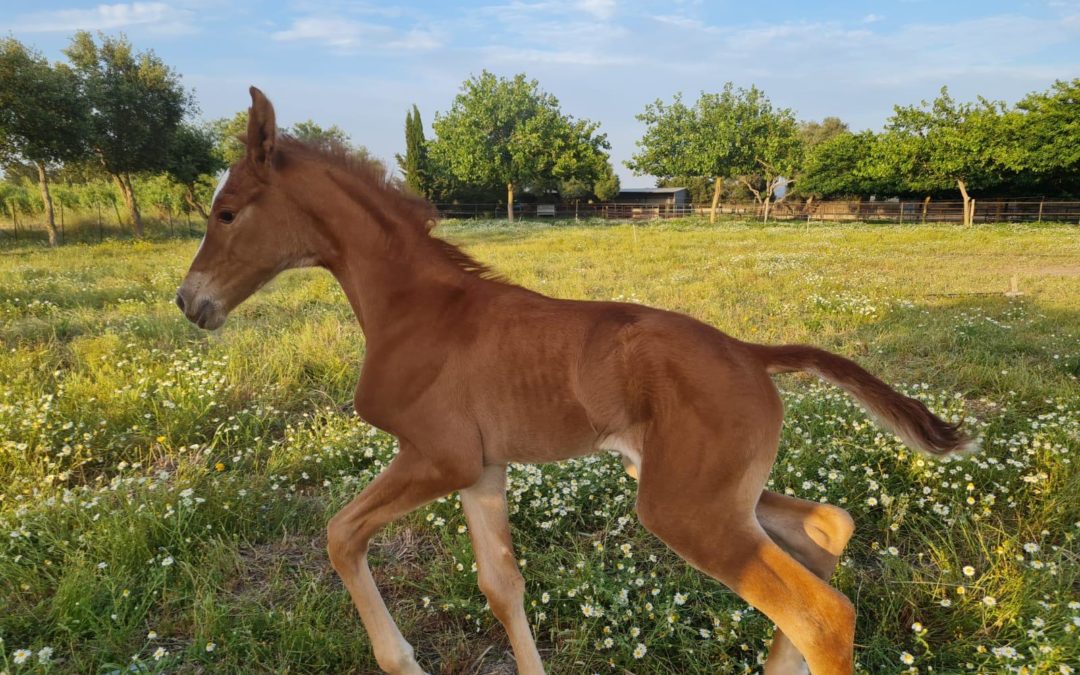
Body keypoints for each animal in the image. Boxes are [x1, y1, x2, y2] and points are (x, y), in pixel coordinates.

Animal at [179, 86, 980, 669]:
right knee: (827, 526)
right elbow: (502, 585)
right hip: (707, 490)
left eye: (227, 212)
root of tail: (749, 352)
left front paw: (401, 658)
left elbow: (341, 535)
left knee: (821, 612)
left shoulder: (439, 455)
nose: (190, 302)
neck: (416, 307)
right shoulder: (483, 469)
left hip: (684, 506)